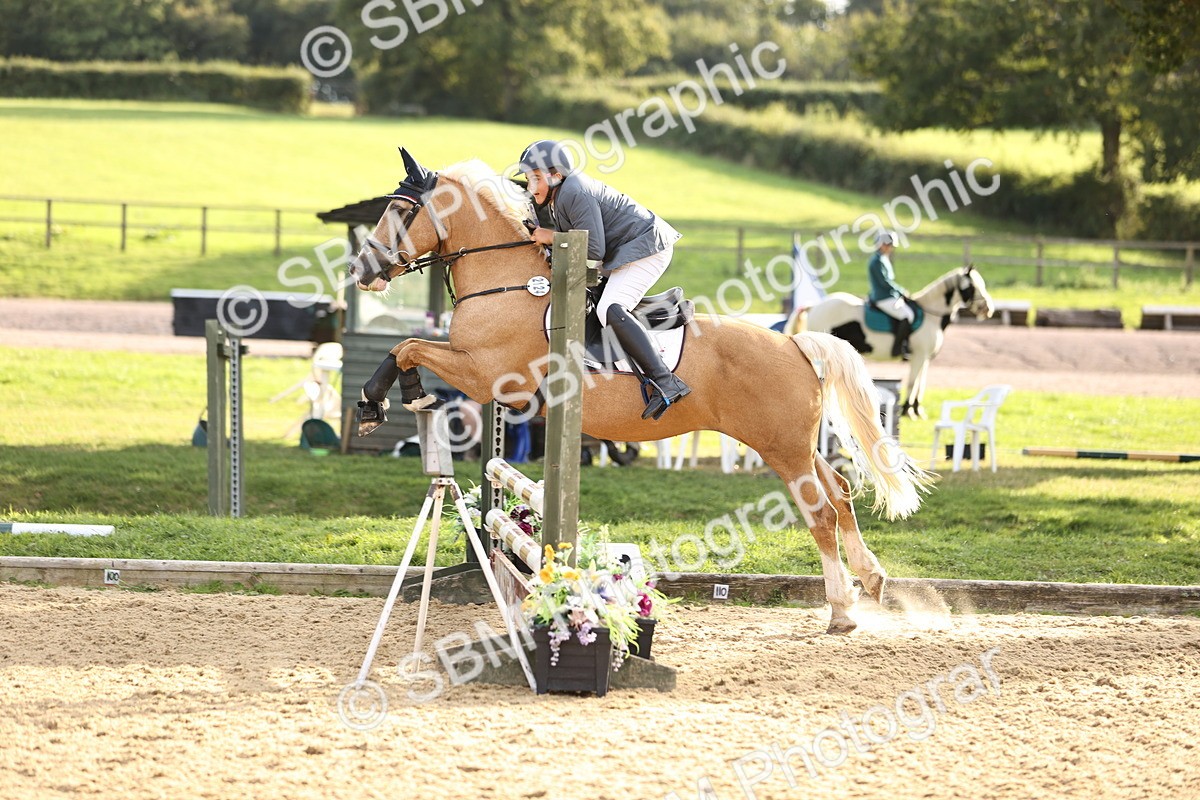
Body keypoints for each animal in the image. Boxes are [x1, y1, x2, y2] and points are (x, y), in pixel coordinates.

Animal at [348, 149, 933, 634]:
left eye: (399, 210)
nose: (360, 270)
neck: (507, 280)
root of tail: (795, 344)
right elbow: (409, 346)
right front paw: (400, 397)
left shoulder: (486, 374)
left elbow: (407, 347)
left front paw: (382, 399)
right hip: (797, 445)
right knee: (841, 490)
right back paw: (871, 581)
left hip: (781, 449)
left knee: (822, 513)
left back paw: (841, 610)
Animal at [783, 266, 995, 419]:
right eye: (972, 287)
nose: (988, 309)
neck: (930, 316)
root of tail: (815, 306)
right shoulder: (918, 356)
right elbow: (912, 383)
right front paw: (907, 411)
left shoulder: (925, 358)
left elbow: (920, 383)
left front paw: (917, 410)